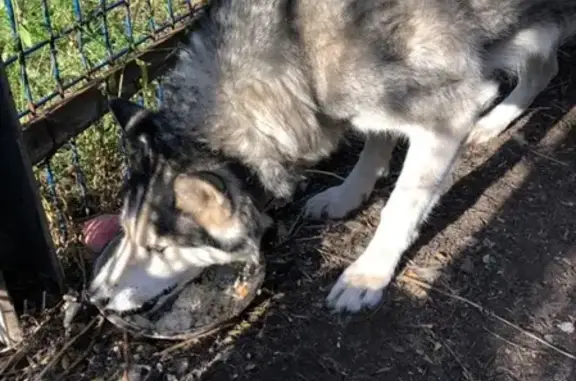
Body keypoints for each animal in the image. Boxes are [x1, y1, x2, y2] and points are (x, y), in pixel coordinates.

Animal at [88, 0, 576, 314]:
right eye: (126, 234)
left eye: (158, 248)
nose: (94, 297)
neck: (297, 47)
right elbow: (374, 144)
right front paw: (346, 196)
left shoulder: (445, 116)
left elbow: (398, 209)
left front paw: (368, 275)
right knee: (546, 67)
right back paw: (495, 122)